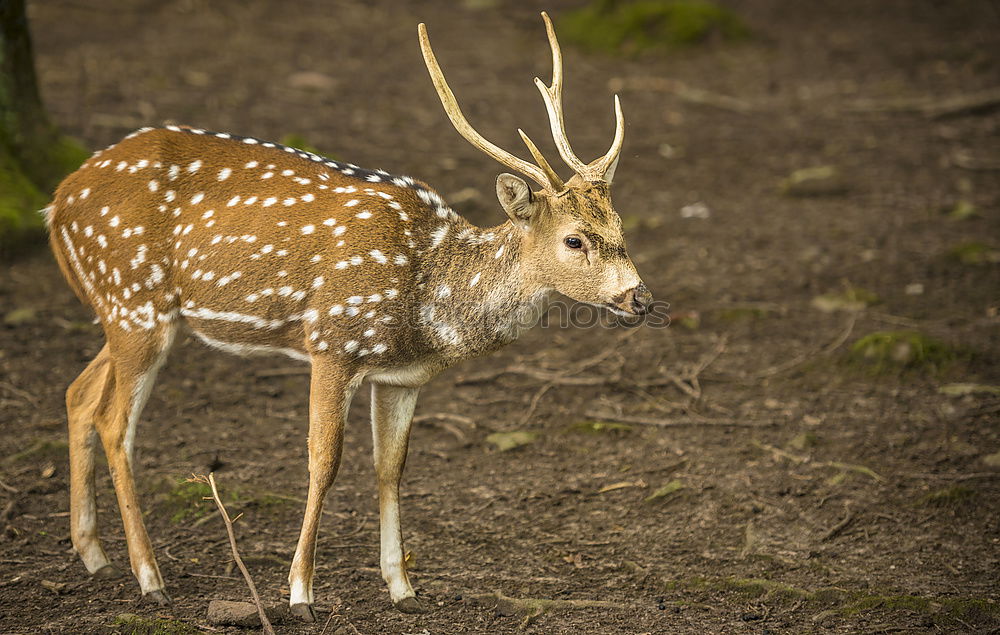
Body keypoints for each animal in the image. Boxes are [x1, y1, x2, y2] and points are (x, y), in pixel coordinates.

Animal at [50, 12, 652, 620]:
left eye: (621, 226)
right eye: (574, 239)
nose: (640, 298)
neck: (429, 296)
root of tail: (57, 202)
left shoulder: (402, 377)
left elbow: (391, 466)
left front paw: (403, 586)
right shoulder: (332, 341)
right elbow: (324, 462)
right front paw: (300, 593)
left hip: (133, 312)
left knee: (79, 393)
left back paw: (94, 555)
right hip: (134, 301)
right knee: (115, 421)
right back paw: (149, 577)